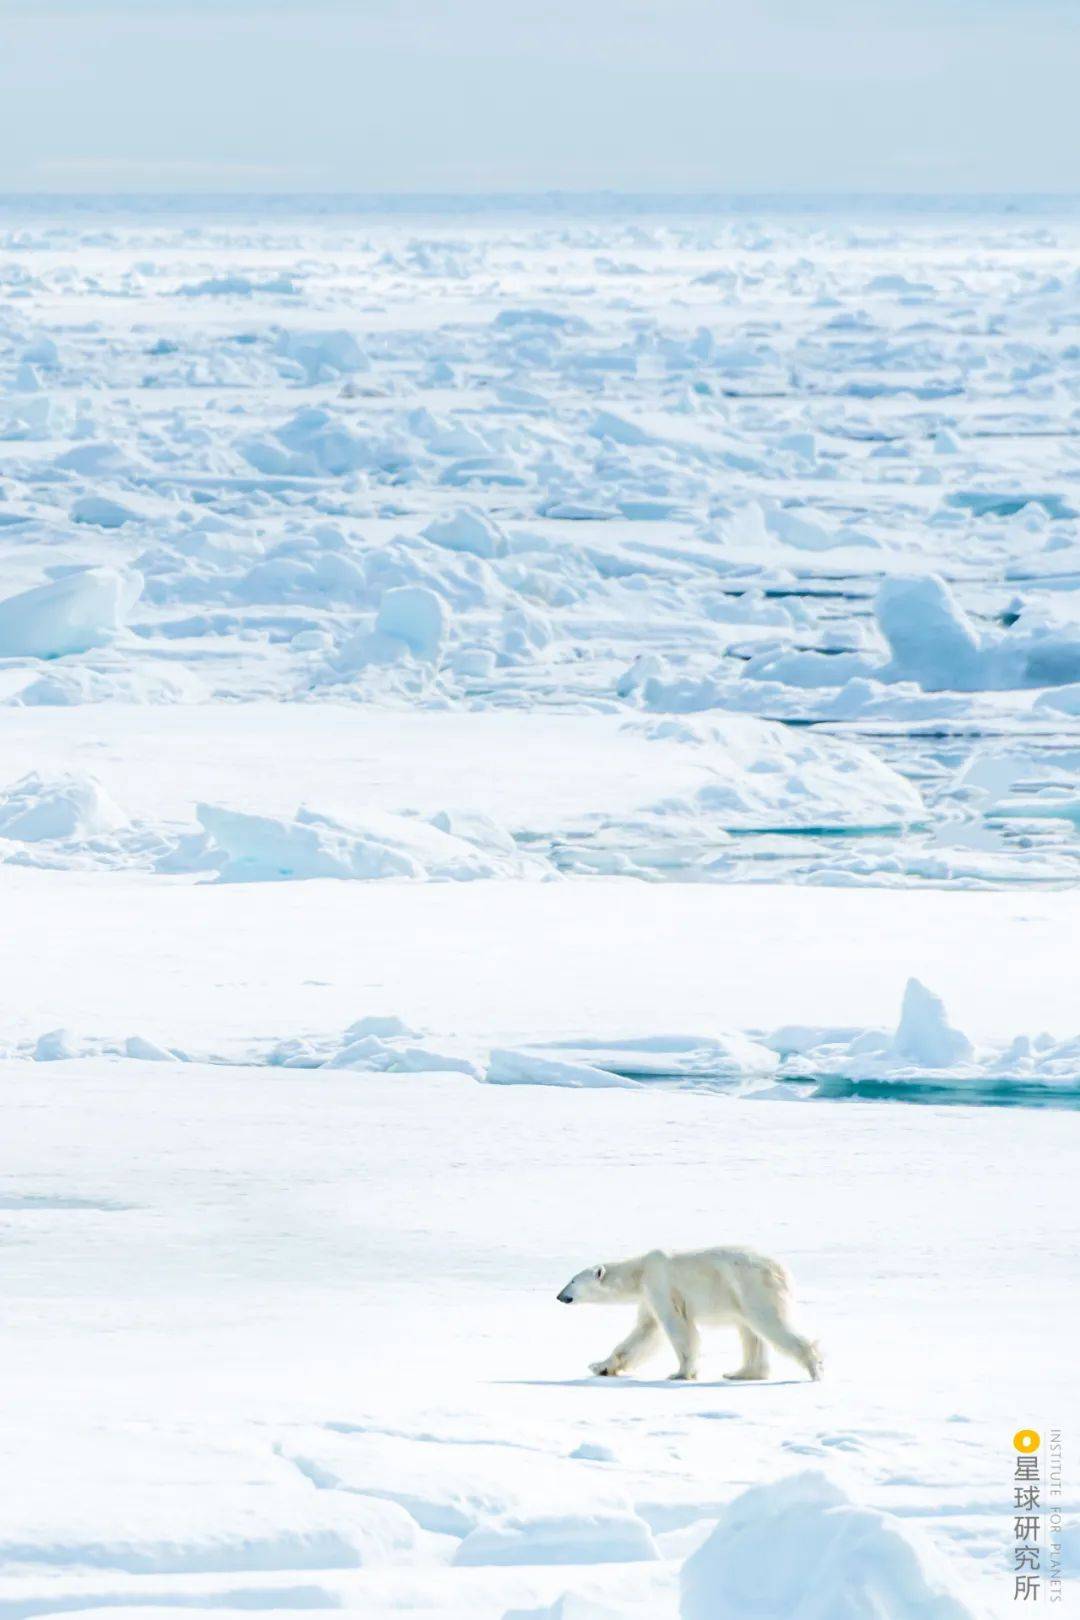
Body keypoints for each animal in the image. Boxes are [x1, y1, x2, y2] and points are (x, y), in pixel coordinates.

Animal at [557, 1237, 819, 1380]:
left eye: (572, 1280)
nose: (559, 1296)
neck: (640, 1271)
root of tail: (783, 1270)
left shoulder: (661, 1283)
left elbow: (677, 1326)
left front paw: (681, 1373)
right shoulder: (648, 1295)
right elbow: (644, 1332)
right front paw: (600, 1366)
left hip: (753, 1287)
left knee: (769, 1323)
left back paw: (814, 1367)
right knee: (750, 1332)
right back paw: (740, 1373)